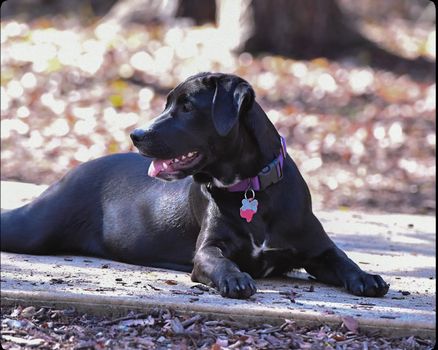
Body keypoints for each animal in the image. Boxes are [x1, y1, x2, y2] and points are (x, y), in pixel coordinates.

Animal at [1, 73, 388, 298]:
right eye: (167, 104)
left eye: (187, 107)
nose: (136, 134)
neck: (252, 190)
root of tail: (75, 170)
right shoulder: (206, 251)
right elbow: (219, 262)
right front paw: (235, 279)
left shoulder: (318, 248)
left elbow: (343, 260)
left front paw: (367, 277)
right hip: (35, 226)